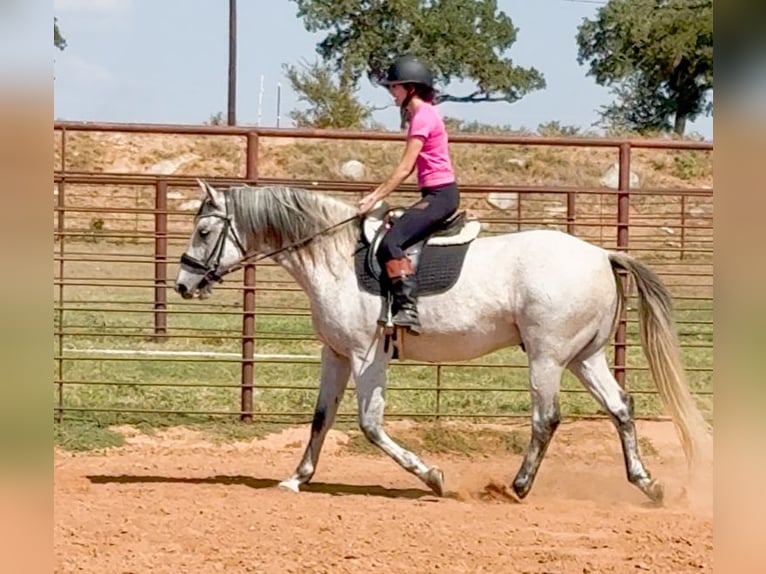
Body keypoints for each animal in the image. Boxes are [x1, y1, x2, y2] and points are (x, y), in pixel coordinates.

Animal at [174, 180, 712, 504]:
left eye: (203, 230)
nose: (182, 284)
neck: (334, 259)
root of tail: (601, 253)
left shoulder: (367, 355)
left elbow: (370, 426)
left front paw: (431, 476)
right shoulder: (336, 354)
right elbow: (321, 419)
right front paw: (296, 478)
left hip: (547, 357)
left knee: (547, 418)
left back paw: (517, 487)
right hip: (585, 356)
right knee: (621, 406)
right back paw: (646, 483)